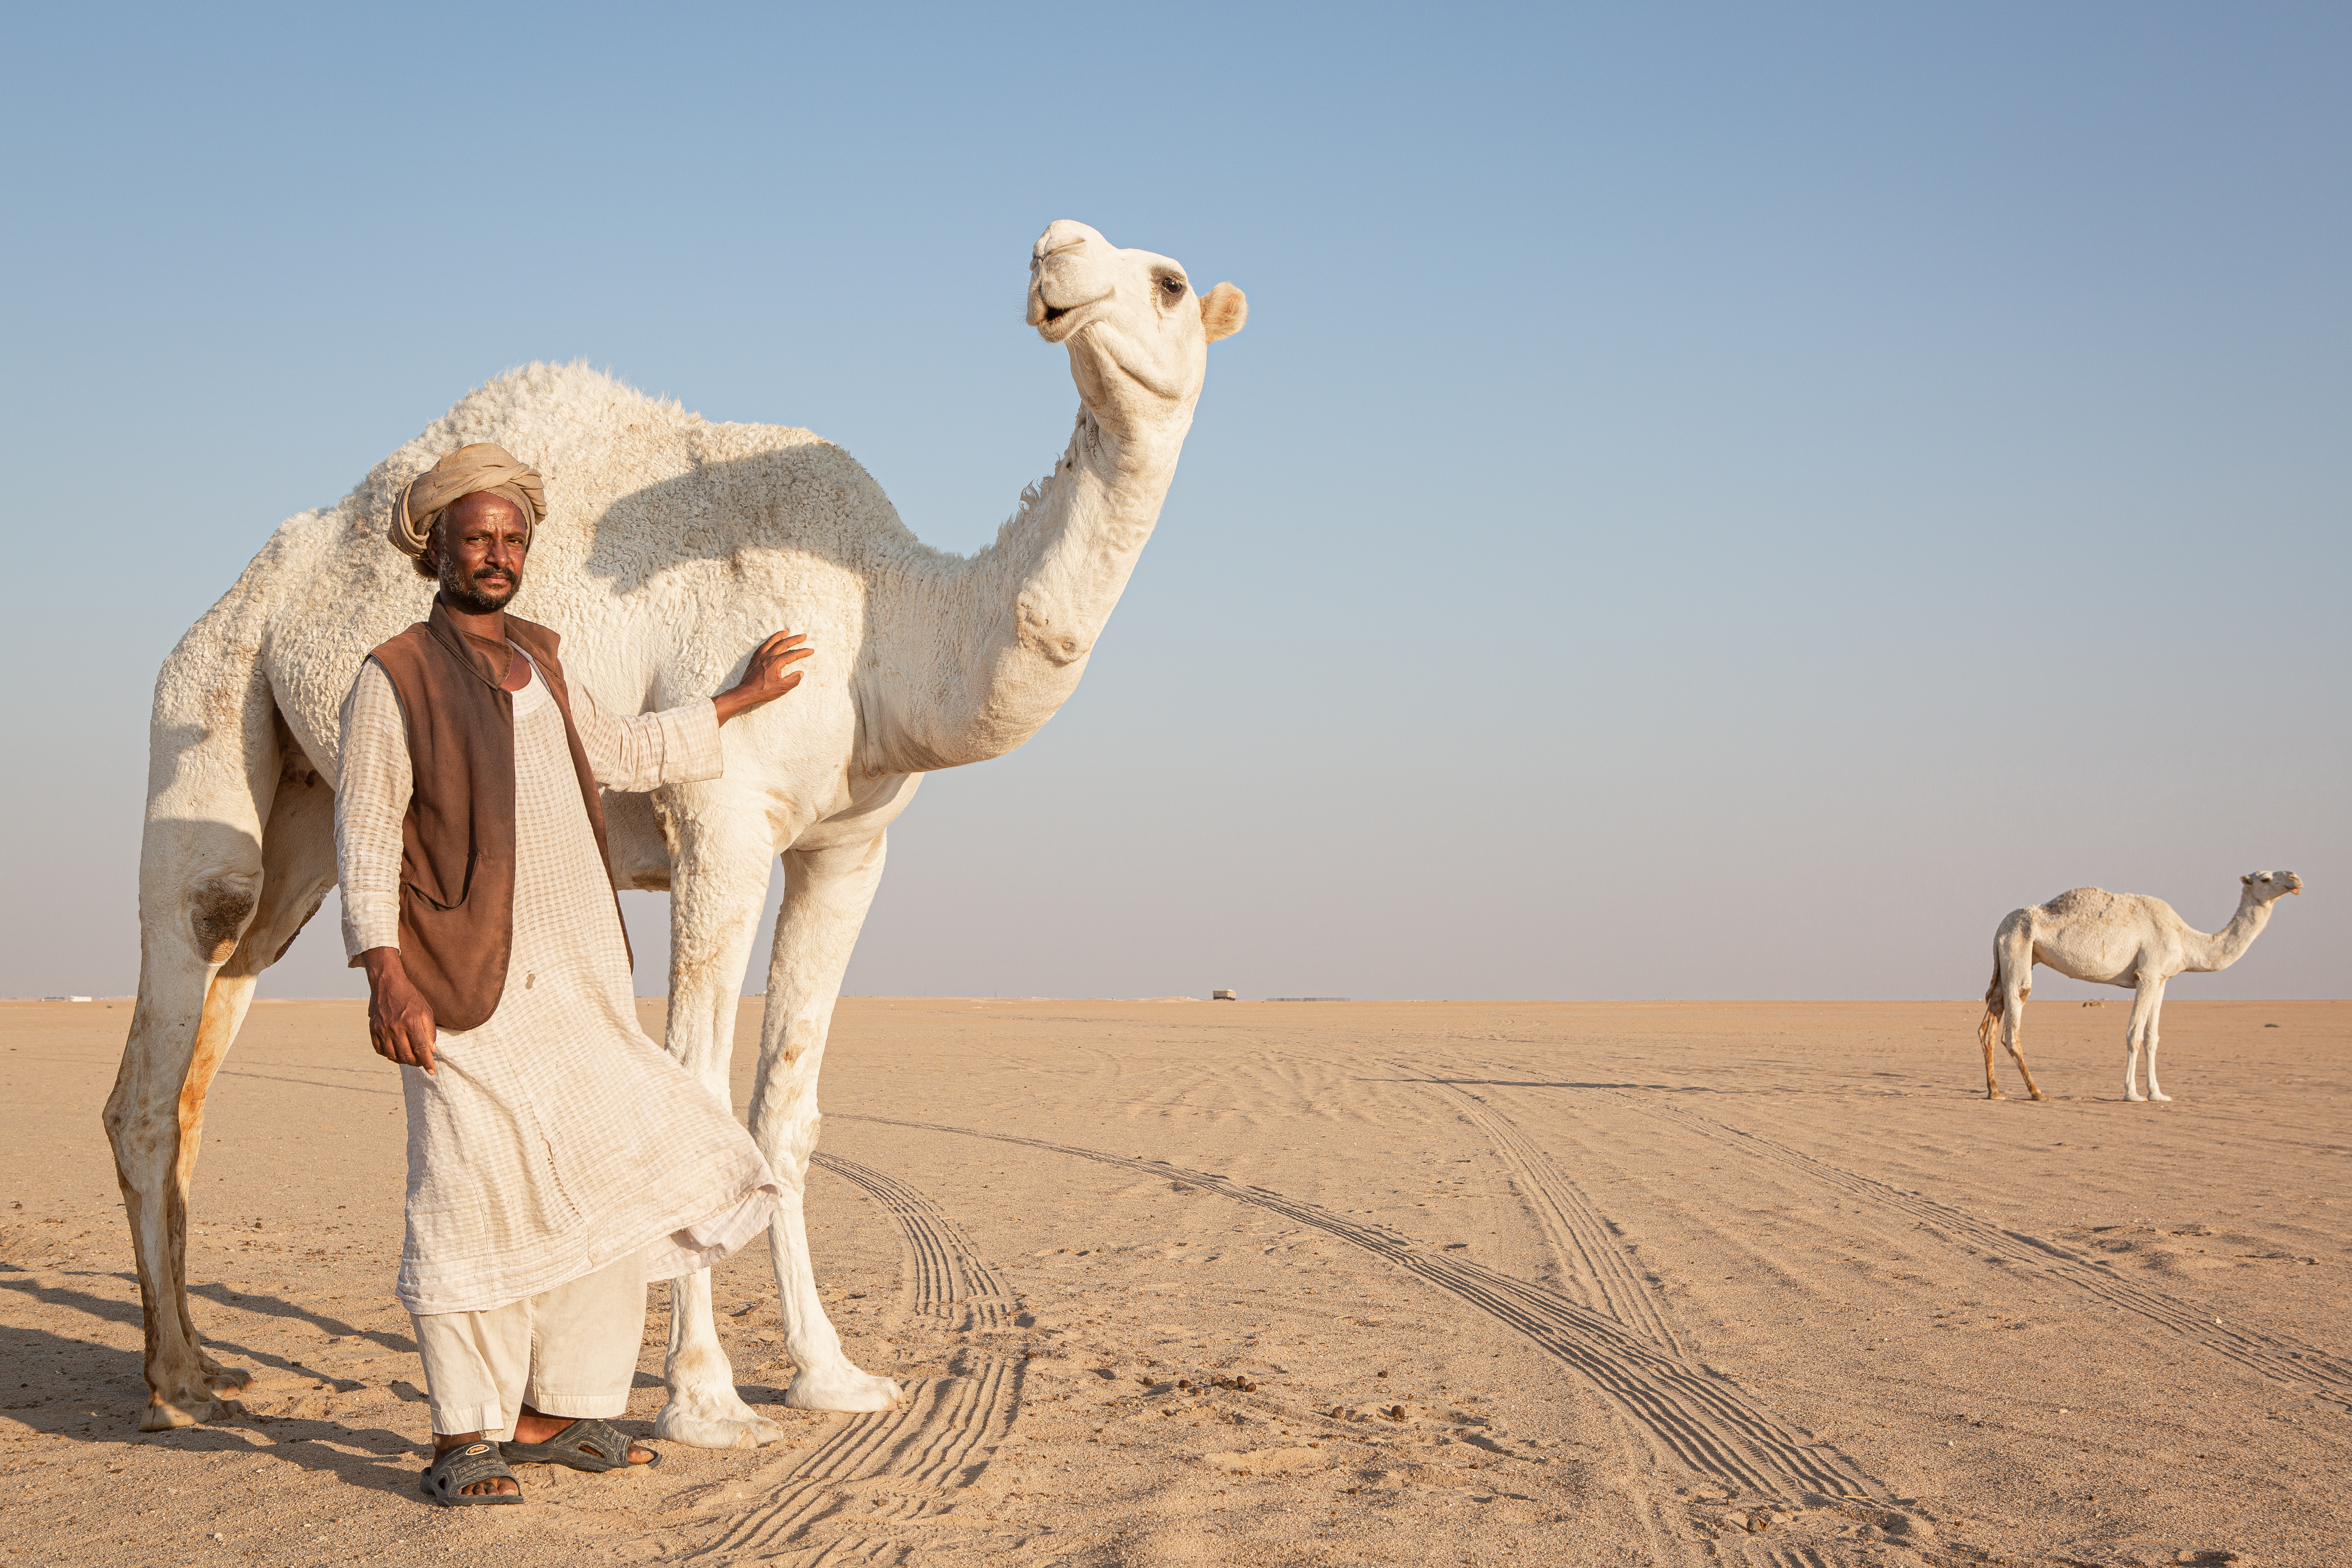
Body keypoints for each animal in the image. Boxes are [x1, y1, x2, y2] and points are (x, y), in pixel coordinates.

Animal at [102, 220, 1246, 1443]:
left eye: (1169, 281)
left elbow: (786, 1109)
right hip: (204, 701)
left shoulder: (847, 847)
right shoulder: (723, 824)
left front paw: (833, 1376)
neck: (882, 625)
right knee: (176, 996)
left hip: (313, 809)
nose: (1054, 252)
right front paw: (705, 1400)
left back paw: (208, 1362)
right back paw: (172, 1385)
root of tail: (258, 585)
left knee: (221, 1019)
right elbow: (700, 1090)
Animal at [1976, 871, 2303, 1103]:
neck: (2185, 939)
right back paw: (2038, 1092)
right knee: (2014, 1020)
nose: (2296, 879)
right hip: (2019, 948)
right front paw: (2132, 1094)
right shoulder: (2146, 975)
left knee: (1989, 1023)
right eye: (2265, 878)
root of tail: (1999, 928)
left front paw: (2158, 1094)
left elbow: (2152, 1037)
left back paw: (1996, 1091)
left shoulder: (2161, 980)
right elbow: (2134, 1034)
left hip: (2008, 957)